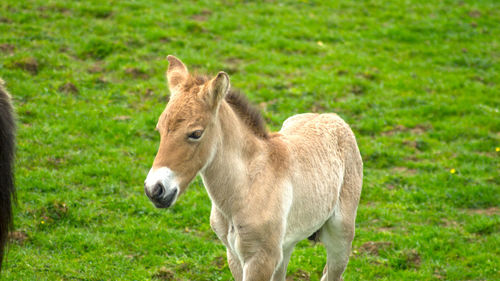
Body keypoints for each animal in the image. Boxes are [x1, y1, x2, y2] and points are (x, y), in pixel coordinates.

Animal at [145, 56, 364, 280]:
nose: (155, 190)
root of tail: (334, 117)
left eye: (196, 133)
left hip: (340, 238)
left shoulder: (260, 260)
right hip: (285, 246)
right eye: (159, 129)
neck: (247, 186)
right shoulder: (234, 256)